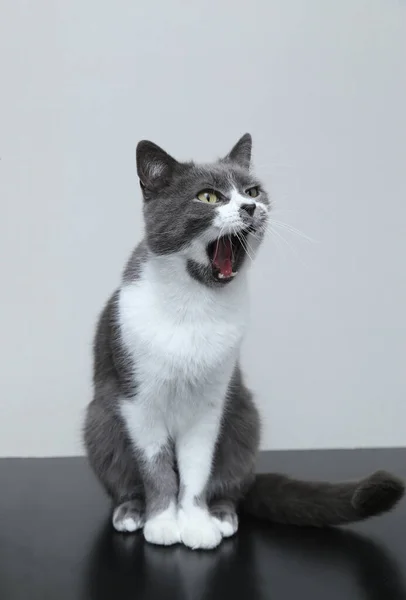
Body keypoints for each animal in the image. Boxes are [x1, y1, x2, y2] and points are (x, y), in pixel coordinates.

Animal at [84, 135, 404, 548]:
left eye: (252, 191)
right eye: (208, 197)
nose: (251, 207)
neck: (194, 305)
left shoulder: (211, 402)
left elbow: (197, 467)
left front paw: (196, 523)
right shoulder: (139, 400)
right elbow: (156, 467)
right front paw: (163, 522)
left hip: (244, 417)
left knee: (232, 483)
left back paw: (222, 515)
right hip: (100, 418)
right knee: (123, 476)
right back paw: (131, 512)